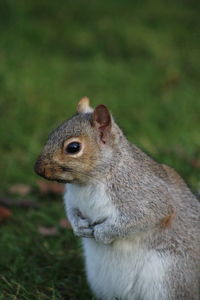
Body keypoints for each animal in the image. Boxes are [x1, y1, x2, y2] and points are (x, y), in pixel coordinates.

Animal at [35, 97, 199, 298]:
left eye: (73, 147)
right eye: (52, 134)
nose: (38, 168)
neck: (88, 183)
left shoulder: (145, 195)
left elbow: (143, 218)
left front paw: (103, 232)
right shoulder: (72, 199)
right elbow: (71, 211)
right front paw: (79, 227)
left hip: (168, 281)